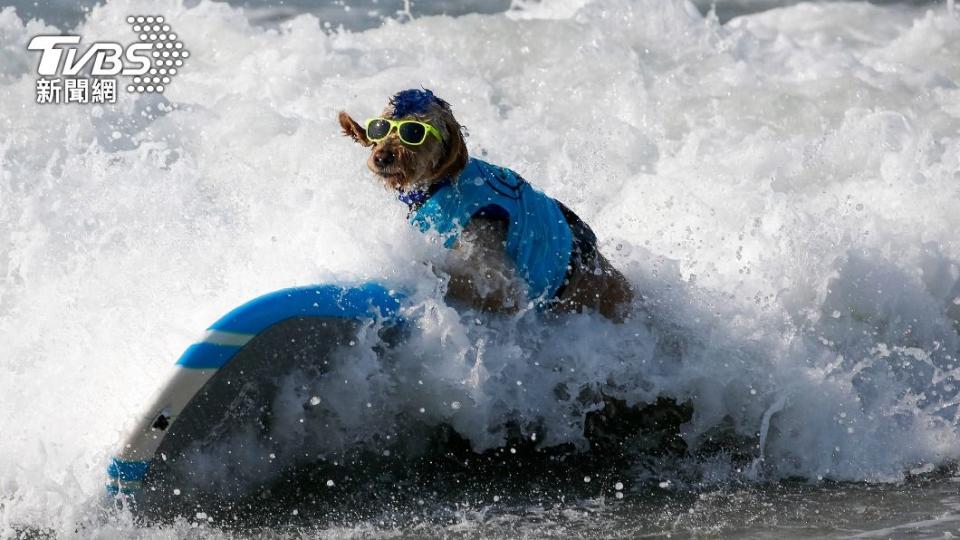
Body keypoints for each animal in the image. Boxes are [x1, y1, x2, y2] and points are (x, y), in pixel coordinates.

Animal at [334, 88, 632, 320]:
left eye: (415, 131)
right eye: (381, 127)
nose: (382, 157)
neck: (438, 184)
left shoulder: (500, 279)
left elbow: (453, 275)